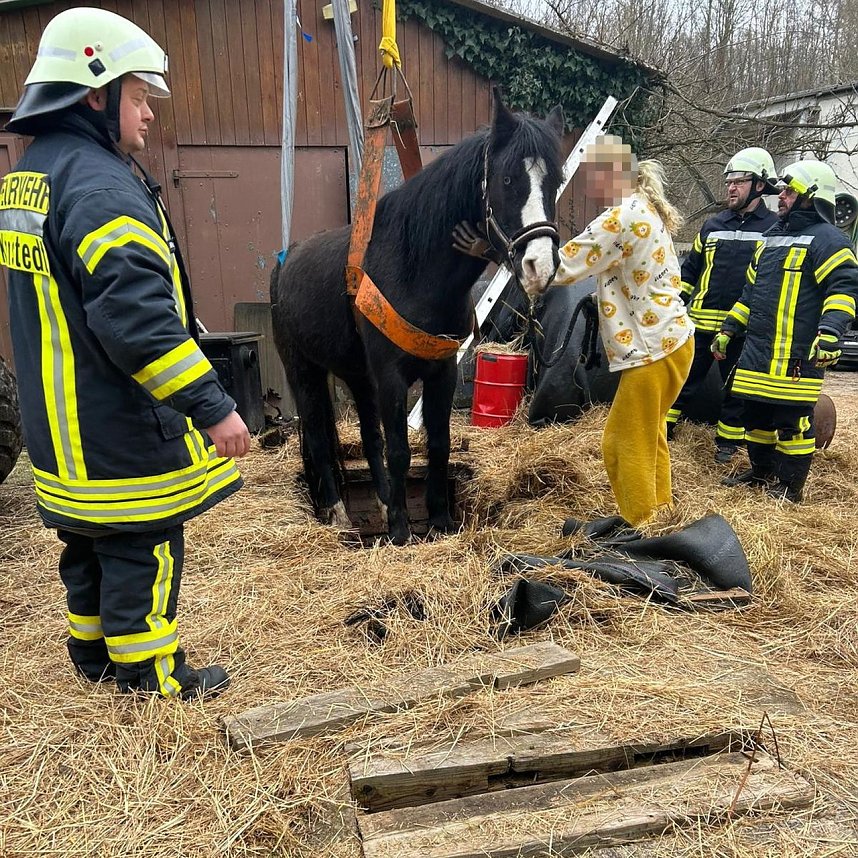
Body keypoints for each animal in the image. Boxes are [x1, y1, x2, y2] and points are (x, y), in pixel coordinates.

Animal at [271, 89, 564, 544]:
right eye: (508, 179)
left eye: (557, 181)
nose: (540, 266)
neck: (414, 269)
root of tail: (285, 262)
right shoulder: (392, 377)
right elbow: (401, 450)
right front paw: (400, 530)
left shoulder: (440, 371)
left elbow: (437, 444)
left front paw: (439, 520)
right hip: (304, 371)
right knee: (319, 437)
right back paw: (337, 513)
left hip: (358, 375)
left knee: (369, 438)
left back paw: (379, 501)